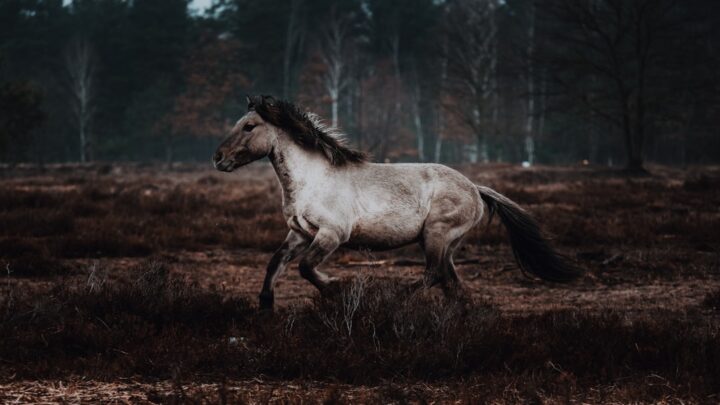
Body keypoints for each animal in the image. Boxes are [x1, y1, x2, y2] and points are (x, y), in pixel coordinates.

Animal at [213, 95, 579, 309]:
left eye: (249, 126)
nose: (218, 159)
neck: (313, 180)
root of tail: (475, 188)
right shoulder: (300, 233)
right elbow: (276, 263)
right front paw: (265, 306)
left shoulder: (332, 234)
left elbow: (306, 267)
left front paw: (335, 289)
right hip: (447, 243)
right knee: (452, 283)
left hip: (436, 235)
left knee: (434, 275)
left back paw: (397, 299)